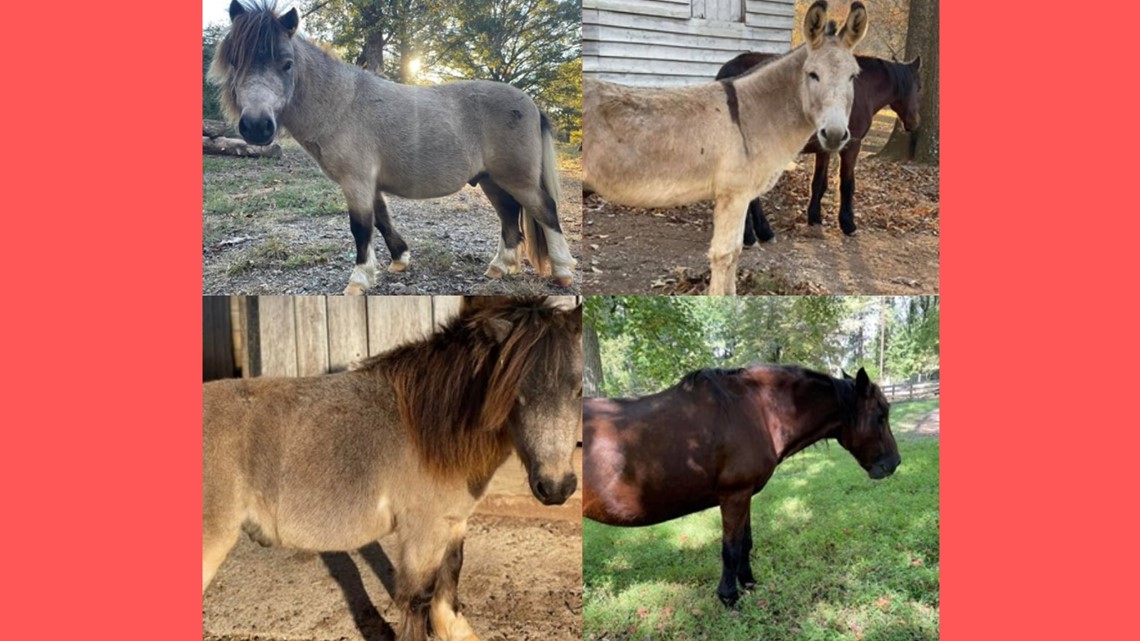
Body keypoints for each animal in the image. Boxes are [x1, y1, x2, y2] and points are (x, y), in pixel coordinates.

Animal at [203, 297, 583, 641]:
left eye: (579, 389)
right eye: (514, 392)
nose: (556, 487)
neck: (429, 428)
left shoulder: (453, 522)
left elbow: (449, 581)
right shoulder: (422, 530)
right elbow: (418, 598)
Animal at [208, 1, 577, 294]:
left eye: (286, 63)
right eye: (235, 62)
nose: (257, 126)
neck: (342, 105)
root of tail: (531, 103)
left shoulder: (356, 181)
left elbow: (361, 227)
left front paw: (359, 280)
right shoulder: (367, 183)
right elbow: (382, 219)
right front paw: (399, 259)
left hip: (518, 179)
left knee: (545, 211)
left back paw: (562, 272)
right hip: (492, 180)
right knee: (509, 216)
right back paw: (500, 267)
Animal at [582, 1, 868, 295]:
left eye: (853, 77)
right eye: (812, 75)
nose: (834, 134)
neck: (750, 116)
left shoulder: (738, 197)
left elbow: (735, 254)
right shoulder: (734, 195)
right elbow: (725, 255)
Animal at [583, 365, 900, 607]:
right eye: (880, 416)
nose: (894, 463)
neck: (755, 411)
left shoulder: (745, 495)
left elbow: (746, 543)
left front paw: (749, 583)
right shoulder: (734, 496)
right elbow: (731, 548)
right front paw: (729, 597)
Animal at [715, 51, 922, 243]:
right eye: (919, 87)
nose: (914, 123)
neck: (861, 88)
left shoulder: (825, 148)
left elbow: (819, 183)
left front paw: (814, 217)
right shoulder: (852, 146)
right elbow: (847, 184)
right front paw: (848, 223)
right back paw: (755, 234)